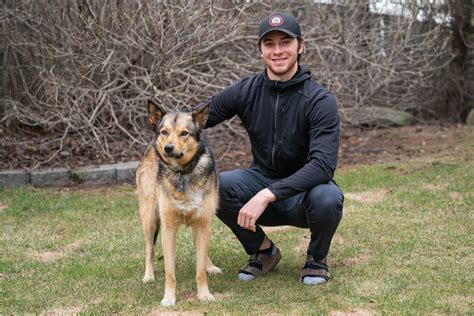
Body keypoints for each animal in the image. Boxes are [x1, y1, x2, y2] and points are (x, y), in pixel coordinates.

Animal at [134, 99, 221, 306]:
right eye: (164, 132)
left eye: (184, 133)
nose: (168, 148)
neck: (183, 173)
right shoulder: (168, 228)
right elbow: (169, 272)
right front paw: (168, 298)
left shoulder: (202, 224)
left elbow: (199, 269)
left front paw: (204, 294)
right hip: (150, 218)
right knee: (149, 248)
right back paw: (148, 275)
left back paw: (210, 266)